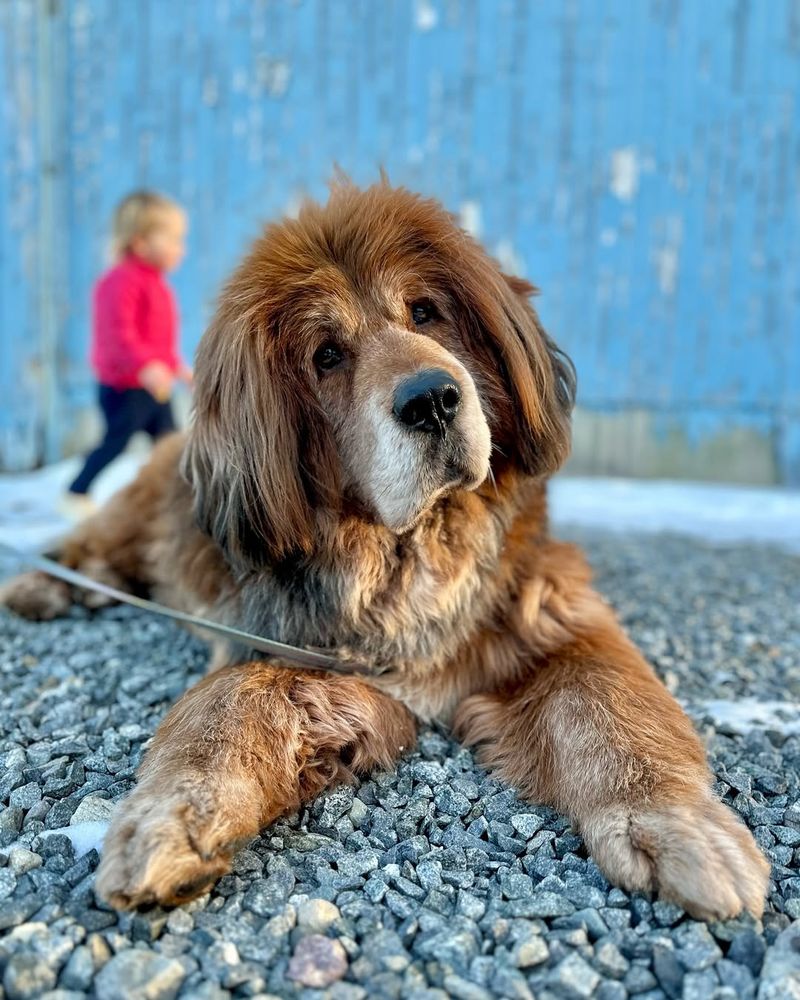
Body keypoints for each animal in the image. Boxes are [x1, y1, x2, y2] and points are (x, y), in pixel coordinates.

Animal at [3, 184, 772, 916]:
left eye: (425, 313)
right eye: (326, 355)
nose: (432, 398)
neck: (409, 548)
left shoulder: (550, 617)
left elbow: (614, 708)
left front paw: (676, 825)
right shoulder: (305, 653)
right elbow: (226, 700)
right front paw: (173, 817)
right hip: (134, 518)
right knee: (90, 546)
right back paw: (41, 587)